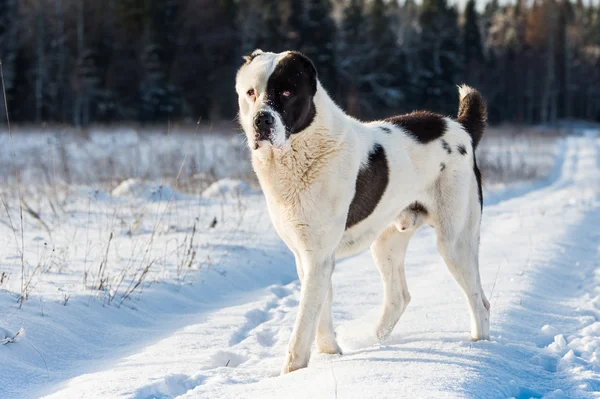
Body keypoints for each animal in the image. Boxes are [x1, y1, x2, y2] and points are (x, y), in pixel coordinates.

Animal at [233, 50, 488, 376]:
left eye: (287, 92)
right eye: (250, 93)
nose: (261, 119)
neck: (302, 148)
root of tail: (460, 127)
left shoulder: (317, 257)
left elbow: (304, 320)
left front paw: (292, 372)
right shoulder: (308, 256)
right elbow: (321, 310)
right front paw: (331, 354)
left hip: (455, 242)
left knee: (479, 301)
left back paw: (481, 349)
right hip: (386, 243)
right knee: (399, 296)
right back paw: (375, 341)